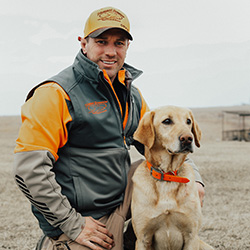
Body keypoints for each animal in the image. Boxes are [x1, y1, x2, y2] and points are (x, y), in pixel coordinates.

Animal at [131, 106, 213, 250]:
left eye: (188, 121)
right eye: (167, 121)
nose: (188, 138)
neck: (167, 176)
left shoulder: (191, 236)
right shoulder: (142, 238)